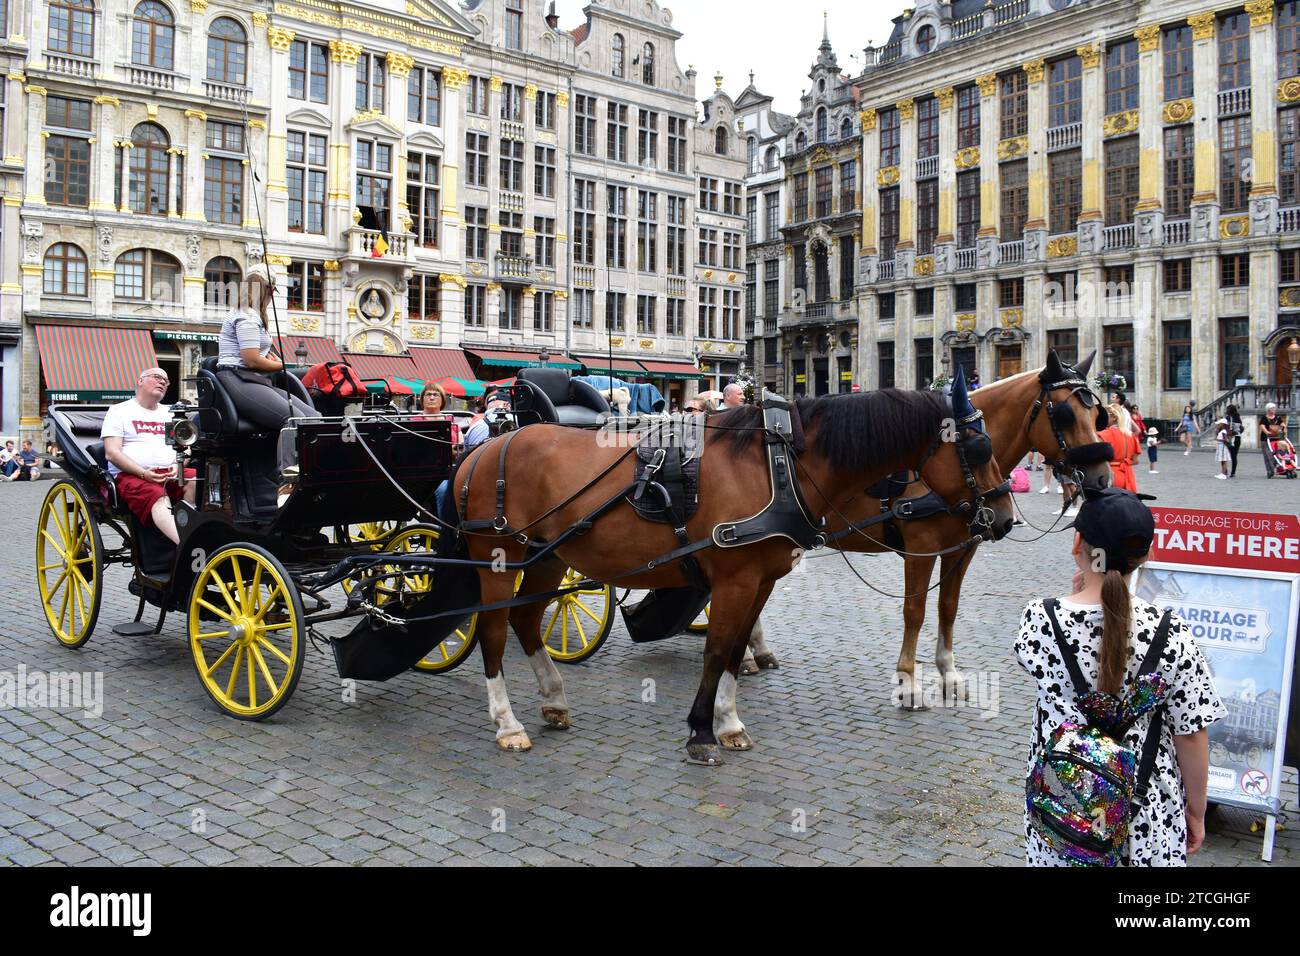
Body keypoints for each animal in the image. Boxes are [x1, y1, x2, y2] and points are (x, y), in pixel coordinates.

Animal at [452, 387, 1017, 764]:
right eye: (978, 451)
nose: (1005, 519)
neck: (778, 467)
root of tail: (485, 448)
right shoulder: (734, 580)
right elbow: (717, 649)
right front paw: (701, 732)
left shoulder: (760, 579)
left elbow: (735, 646)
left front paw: (727, 722)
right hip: (500, 557)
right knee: (494, 632)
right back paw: (507, 723)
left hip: (545, 558)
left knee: (526, 621)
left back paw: (553, 699)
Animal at [754, 350, 1113, 707]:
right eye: (1066, 415)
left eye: (1096, 414)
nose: (1102, 477)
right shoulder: (922, 548)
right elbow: (915, 610)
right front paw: (908, 683)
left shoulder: (962, 549)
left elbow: (947, 608)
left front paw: (949, 675)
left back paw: (755, 652)